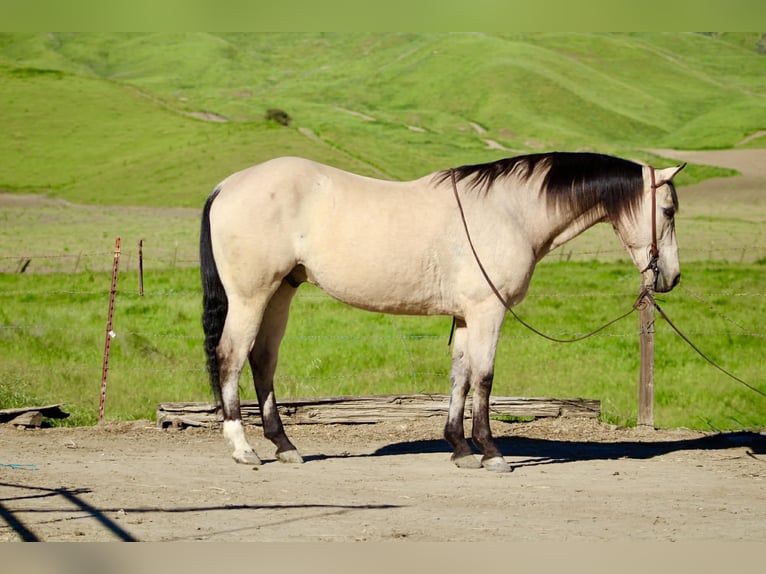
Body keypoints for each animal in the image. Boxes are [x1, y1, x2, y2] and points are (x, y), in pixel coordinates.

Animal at [200, 152, 684, 472]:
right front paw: (491, 452)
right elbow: (484, 378)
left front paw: (460, 448)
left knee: (262, 360)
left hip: (280, 293)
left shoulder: (468, 315)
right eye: (668, 210)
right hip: (251, 296)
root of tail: (227, 186)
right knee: (231, 358)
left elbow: (460, 376)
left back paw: (284, 445)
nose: (672, 277)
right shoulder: (489, 311)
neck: (510, 211)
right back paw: (243, 448)